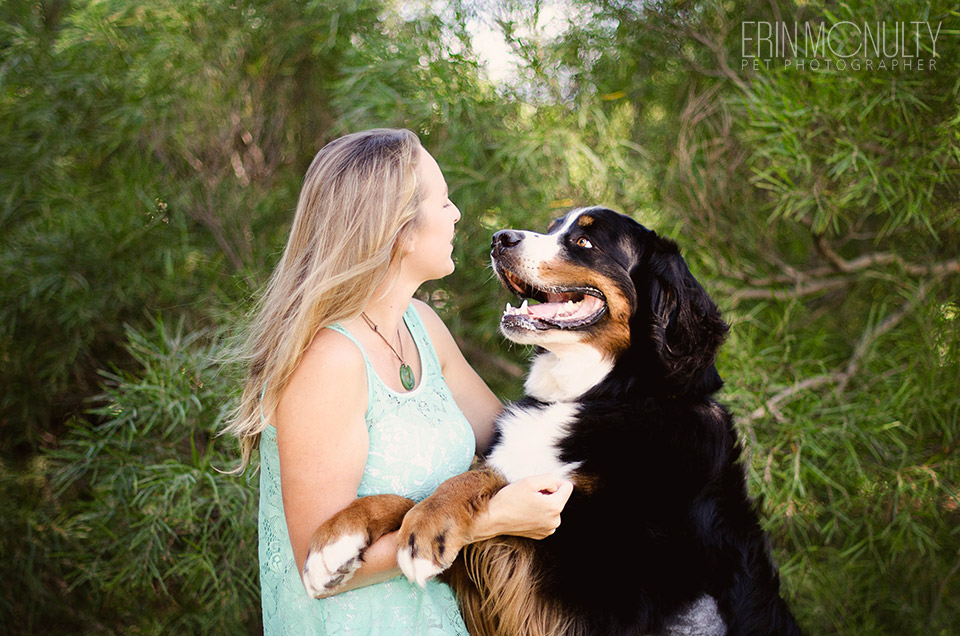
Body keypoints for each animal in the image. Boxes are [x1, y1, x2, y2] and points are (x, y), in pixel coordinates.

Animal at [306, 209, 804, 636]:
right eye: (551, 228)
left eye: (583, 241)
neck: (605, 395)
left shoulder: (571, 580)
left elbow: (477, 481)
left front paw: (428, 527)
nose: (499, 238)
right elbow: (422, 489)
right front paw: (336, 540)